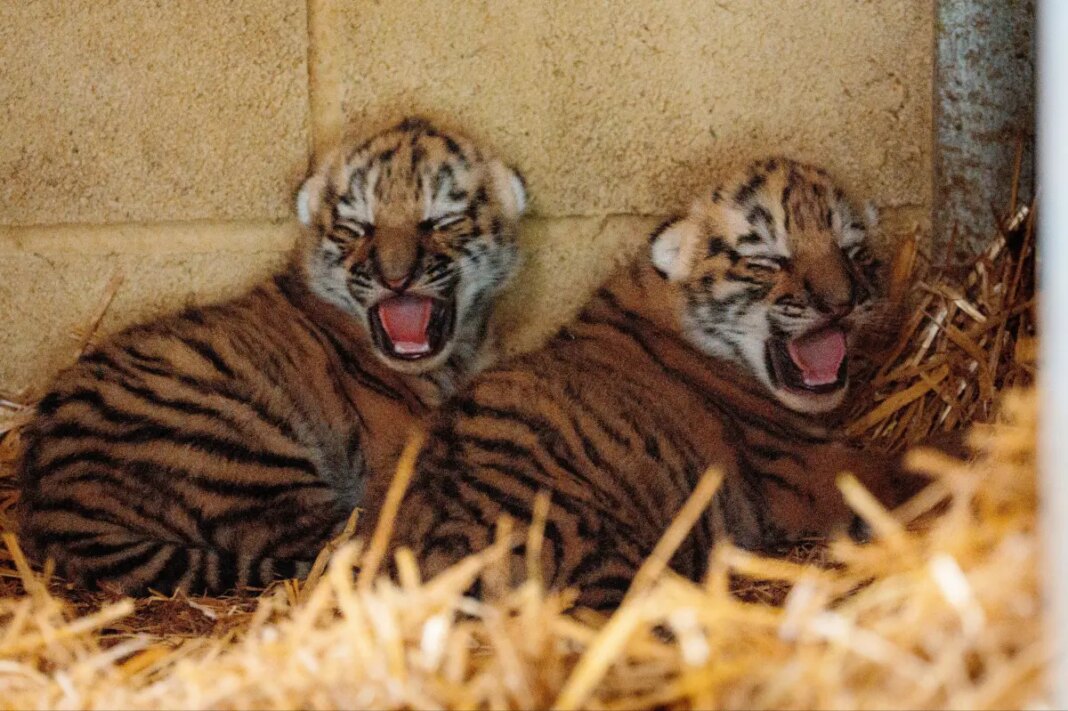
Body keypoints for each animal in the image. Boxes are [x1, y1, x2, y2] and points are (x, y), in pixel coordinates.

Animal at [16, 117, 528, 596]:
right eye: (355, 228)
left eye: (440, 220)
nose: (395, 279)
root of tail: (49, 508)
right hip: (234, 448)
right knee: (347, 538)